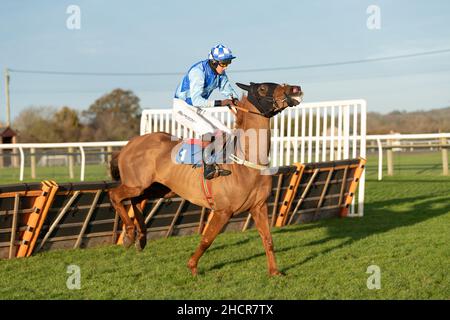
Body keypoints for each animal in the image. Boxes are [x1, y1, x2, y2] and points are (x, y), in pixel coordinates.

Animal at [110, 82, 302, 276]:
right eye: (262, 88)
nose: (295, 89)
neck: (245, 161)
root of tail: (129, 144)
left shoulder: (259, 207)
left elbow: (268, 240)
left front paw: (275, 272)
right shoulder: (223, 211)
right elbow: (207, 240)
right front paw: (192, 266)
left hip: (159, 188)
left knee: (136, 200)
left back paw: (140, 238)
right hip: (137, 184)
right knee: (115, 195)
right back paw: (130, 234)